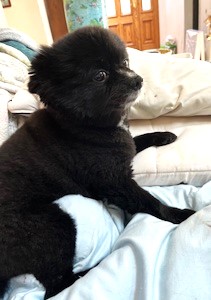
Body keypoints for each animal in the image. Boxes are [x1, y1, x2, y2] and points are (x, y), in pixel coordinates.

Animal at [0, 27, 195, 298]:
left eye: (125, 62)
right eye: (100, 76)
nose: (138, 79)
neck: (80, 123)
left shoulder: (124, 149)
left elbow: (137, 140)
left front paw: (163, 136)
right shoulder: (115, 183)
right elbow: (150, 201)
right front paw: (179, 214)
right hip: (50, 227)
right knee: (58, 285)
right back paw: (98, 266)